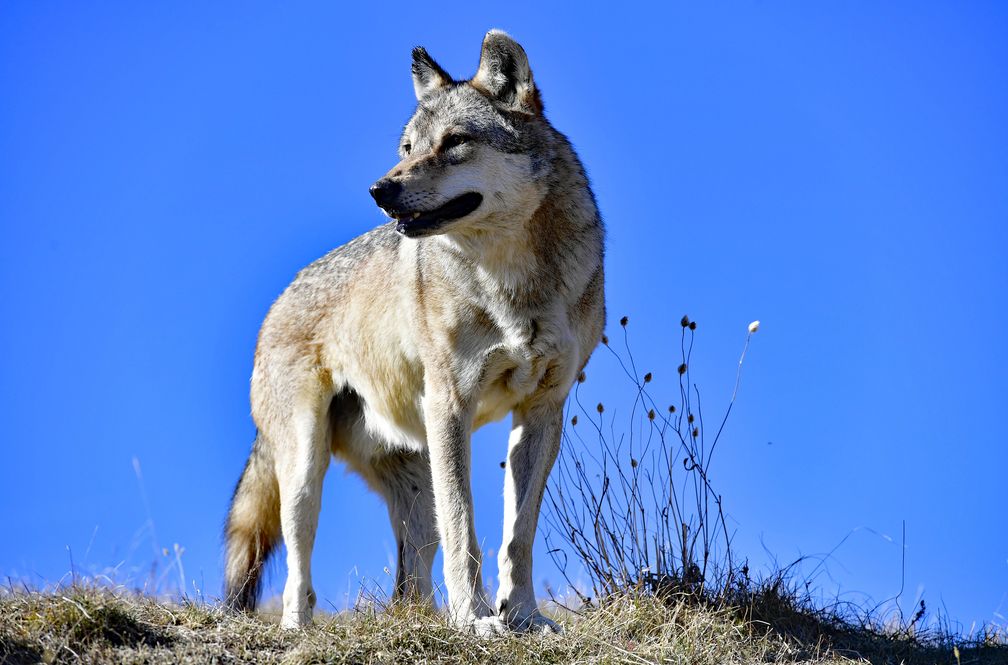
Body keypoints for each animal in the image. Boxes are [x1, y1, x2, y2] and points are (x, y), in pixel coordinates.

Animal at [226, 29, 604, 632]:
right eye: (407, 148)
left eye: (454, 142)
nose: (379, 189)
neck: (512, 283)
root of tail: (275, 304)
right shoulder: (451, 403)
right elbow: (464, 532)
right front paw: (474, 620)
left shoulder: (543, 408)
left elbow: (516, 537)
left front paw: (522, 616)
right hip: (306, 469)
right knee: (298, 571)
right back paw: (297, 629)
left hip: (417, 474)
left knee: (407, 586)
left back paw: (420, 622)